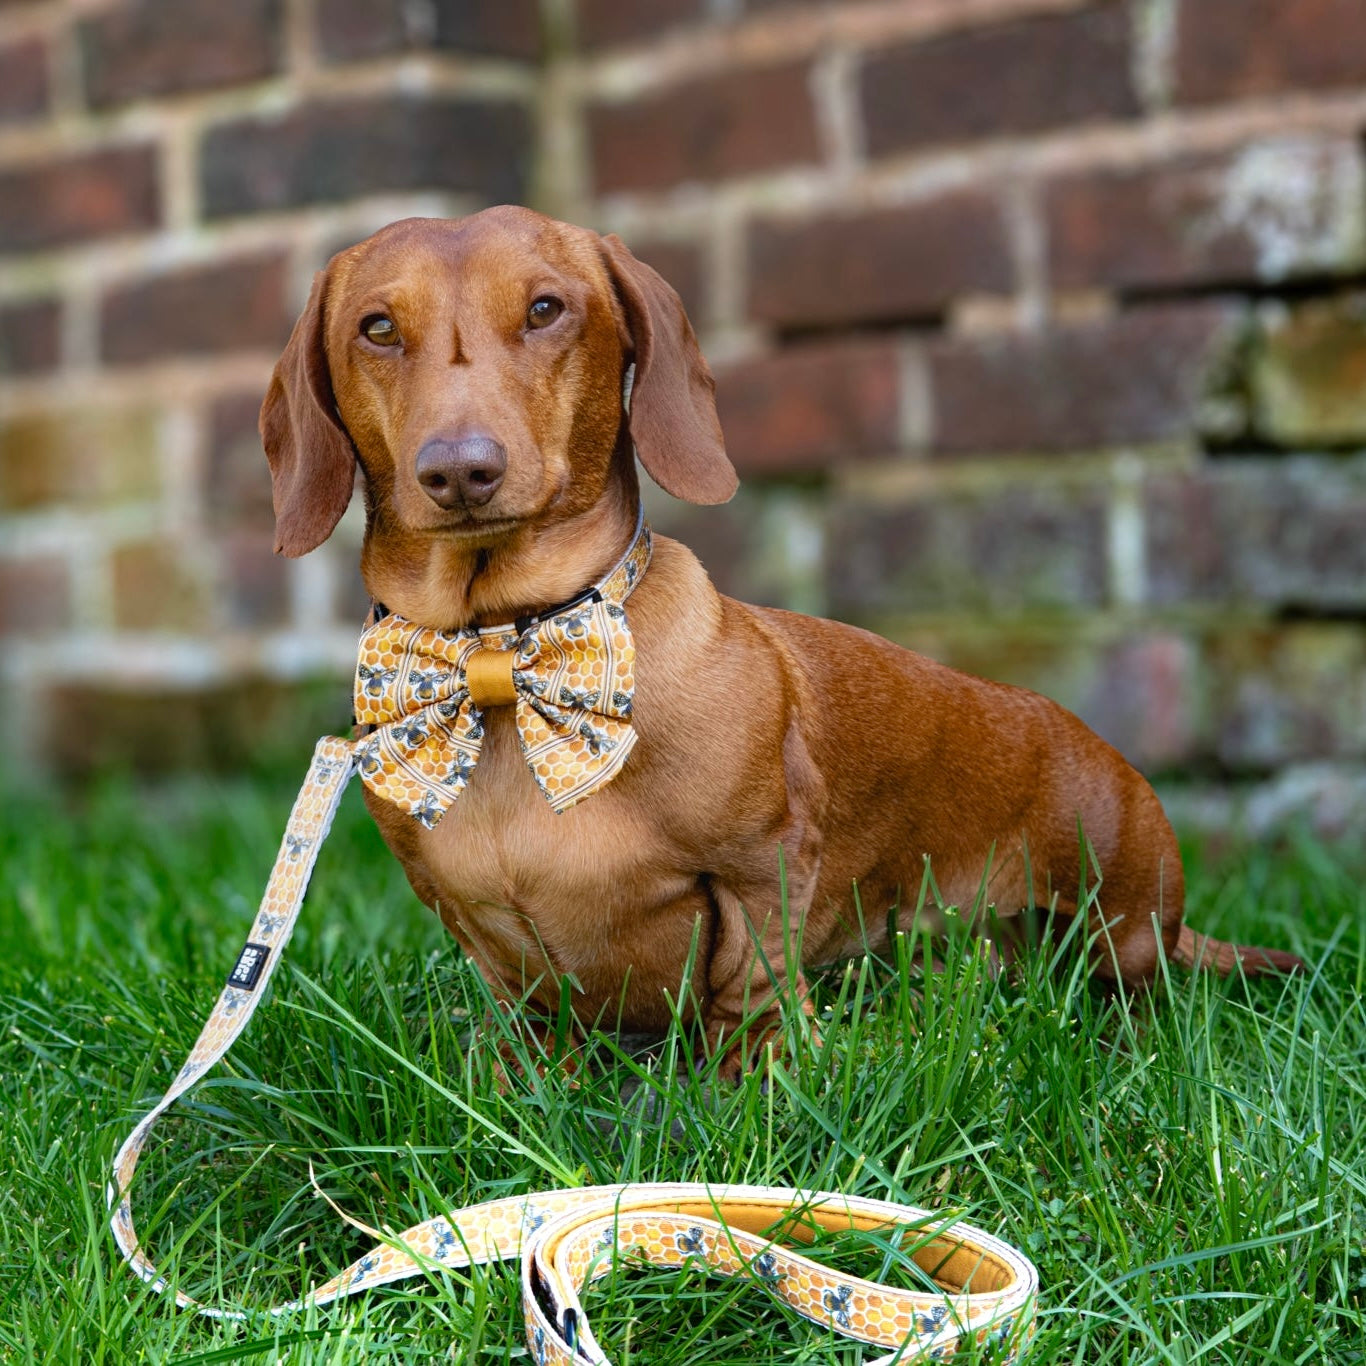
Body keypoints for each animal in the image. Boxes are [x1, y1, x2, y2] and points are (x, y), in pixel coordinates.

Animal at [260, 205, 1302, 1076]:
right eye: (377, 328)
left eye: (548, 308)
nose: (460, 471)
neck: (506, 659)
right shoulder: (476, 929)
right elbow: (519, 1015)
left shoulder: (761, 871)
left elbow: (750, 984)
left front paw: (757, 1087)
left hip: (1117, 918)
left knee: (1130, 988)